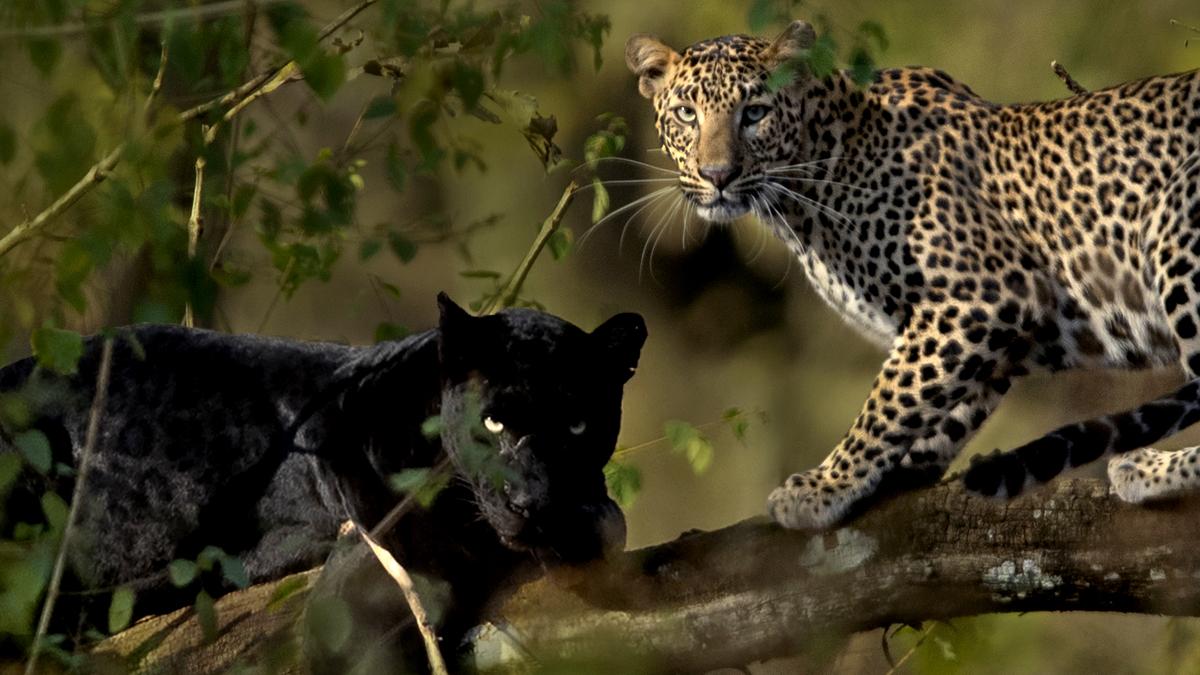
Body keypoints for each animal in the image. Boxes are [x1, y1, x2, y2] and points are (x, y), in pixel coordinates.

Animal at [624, 19, 1200, 530]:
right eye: (685, 113)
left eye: (755, 113)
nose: (717, 175)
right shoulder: (980, 330)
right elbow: (940, 398)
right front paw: (896, 470)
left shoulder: (985, 294)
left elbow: (890, 400)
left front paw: (824, 486)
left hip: (1175, 230)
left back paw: (1149, 468)